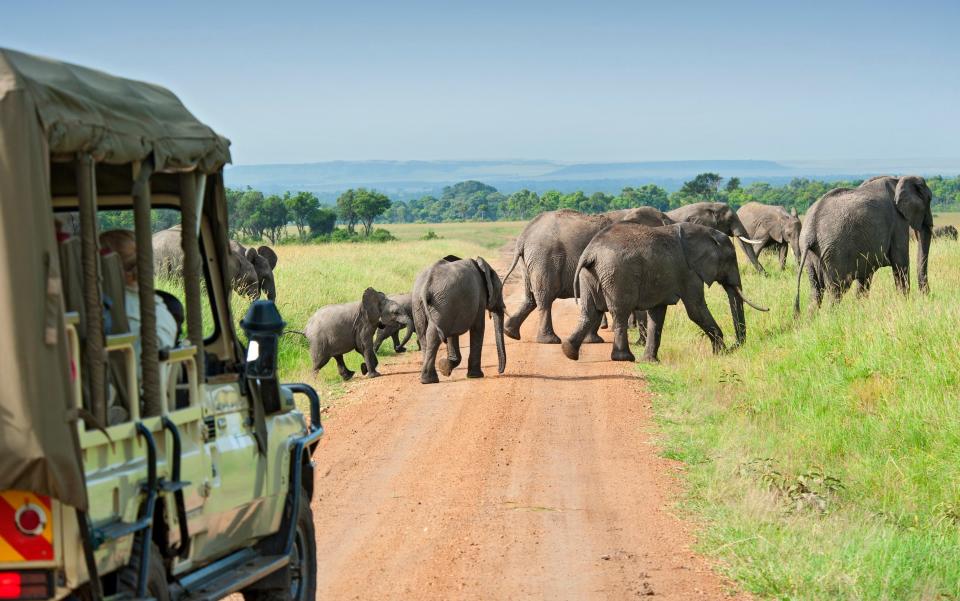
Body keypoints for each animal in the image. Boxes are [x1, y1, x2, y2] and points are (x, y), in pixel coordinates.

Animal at [416, 254, 512, 384]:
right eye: (500, 290)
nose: (499, 371)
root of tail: (427, 284)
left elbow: (452, 335)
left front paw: (444, 368)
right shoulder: (479, 298)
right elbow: (478, 327)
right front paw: (475, 376)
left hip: (425, 303)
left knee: (424, 335)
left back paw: (427, 379)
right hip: (441, 303)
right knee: (433, 335)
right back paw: (430, 380)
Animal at [502, 206, 676, 342]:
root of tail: (523, 236)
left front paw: (593, 340)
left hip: (530, 261)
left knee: (530, 297)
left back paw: (510, 332)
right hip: (545, 258)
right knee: (545, 296)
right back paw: (549, 340)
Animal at [560, 220, 768, 360]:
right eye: (731, 259)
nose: (735, 347)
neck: (705, 233)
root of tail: (590, 253)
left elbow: (658, 314)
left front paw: (650, 361)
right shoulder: (689, 272)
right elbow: (696, 310)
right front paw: (720, 354)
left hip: (590, 275)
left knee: (590, 311)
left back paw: (568, 351)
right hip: (617, 275)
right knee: (619, 312)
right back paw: (624, 358)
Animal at [796, 173, 928, 310]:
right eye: (929, 200)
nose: (925, 295)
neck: (898, 179)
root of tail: (810, 232)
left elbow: (865, 277)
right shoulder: (898, 222)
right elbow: (900, 263)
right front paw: (905, 303)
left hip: (811, 256)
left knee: (816, 292)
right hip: (834, 254)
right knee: (837, 290)